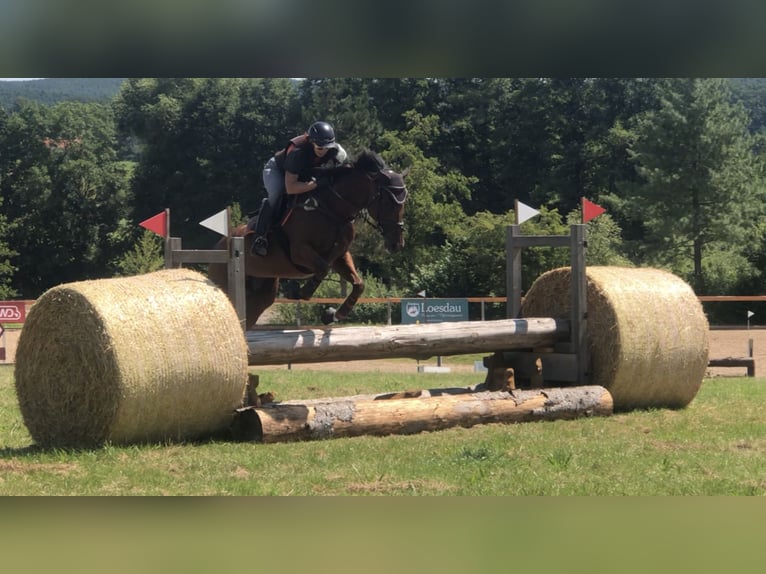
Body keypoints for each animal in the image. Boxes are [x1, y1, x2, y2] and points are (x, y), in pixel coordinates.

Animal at [207, 150, 412, 328]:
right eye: (388, 200)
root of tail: (218, 247)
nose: (397, 243)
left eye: (404, 200)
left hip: (261, 295)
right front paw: (300, 292)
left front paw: (333, 315)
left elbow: (358, 284)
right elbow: (323, 268)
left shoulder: (340, 256)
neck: (333, 209)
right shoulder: (300, 251)